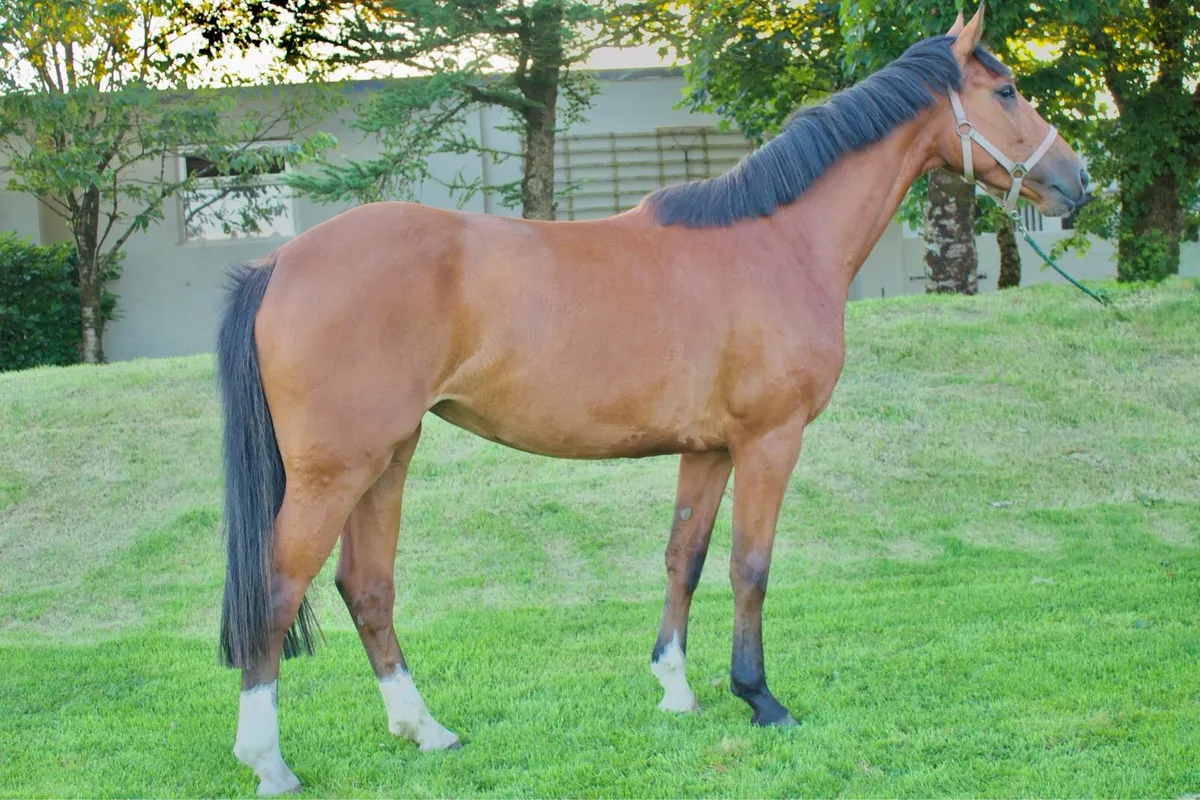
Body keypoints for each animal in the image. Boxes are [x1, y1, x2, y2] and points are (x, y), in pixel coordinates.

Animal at [216, 7, 1088, 794]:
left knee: (367, 587)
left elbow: (685, 559)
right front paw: (760, 699)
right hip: (337, 471)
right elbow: (750, 566)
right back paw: (269, 762)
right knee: (278, 590)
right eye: (1006, 91)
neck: (779, 240)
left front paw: (675, 687)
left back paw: (424, 730)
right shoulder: (770, 440)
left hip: (388, 459)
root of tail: (280, 264)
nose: (1077, 182)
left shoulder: (707, 450)